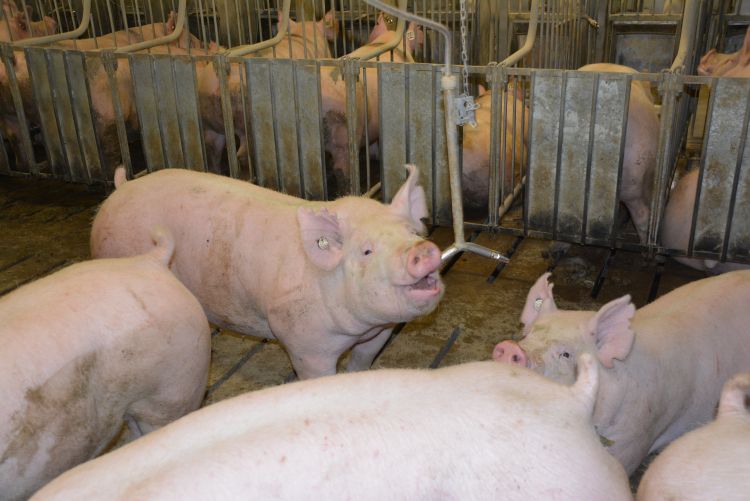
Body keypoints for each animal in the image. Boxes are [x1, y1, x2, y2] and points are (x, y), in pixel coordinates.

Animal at [91, 164, 444, 380]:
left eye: (412, 233)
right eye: (367, 250)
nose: (423, 251)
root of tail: (120, 189)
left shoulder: (380, 331)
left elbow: (362, 361)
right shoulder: (305, 343)